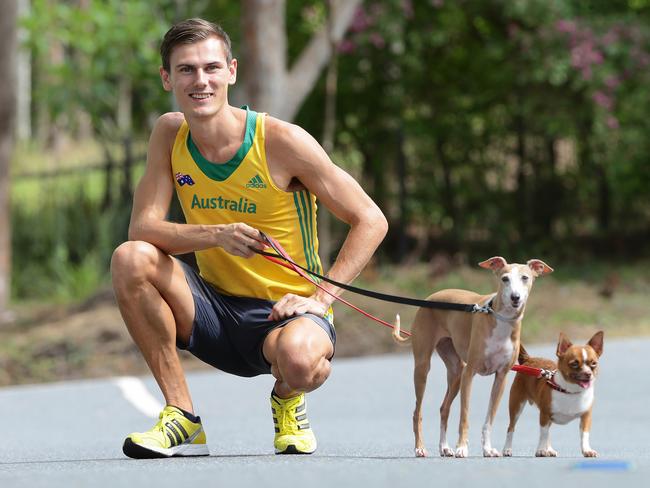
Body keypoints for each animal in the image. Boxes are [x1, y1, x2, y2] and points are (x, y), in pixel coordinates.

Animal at [392, 260, 548, 458]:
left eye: (525, 277)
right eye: (505, 278)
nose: (515, 297)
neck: (501, 319)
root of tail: (429, 298)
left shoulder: (501, 377)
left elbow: (489, 420)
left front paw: (487, 449)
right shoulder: (469, 373)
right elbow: (464, 416)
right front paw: (462, 448)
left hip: (456, 372)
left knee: (444, 408)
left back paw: (444, 447)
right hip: (423, 368)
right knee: (417, 412)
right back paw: (420, 447)